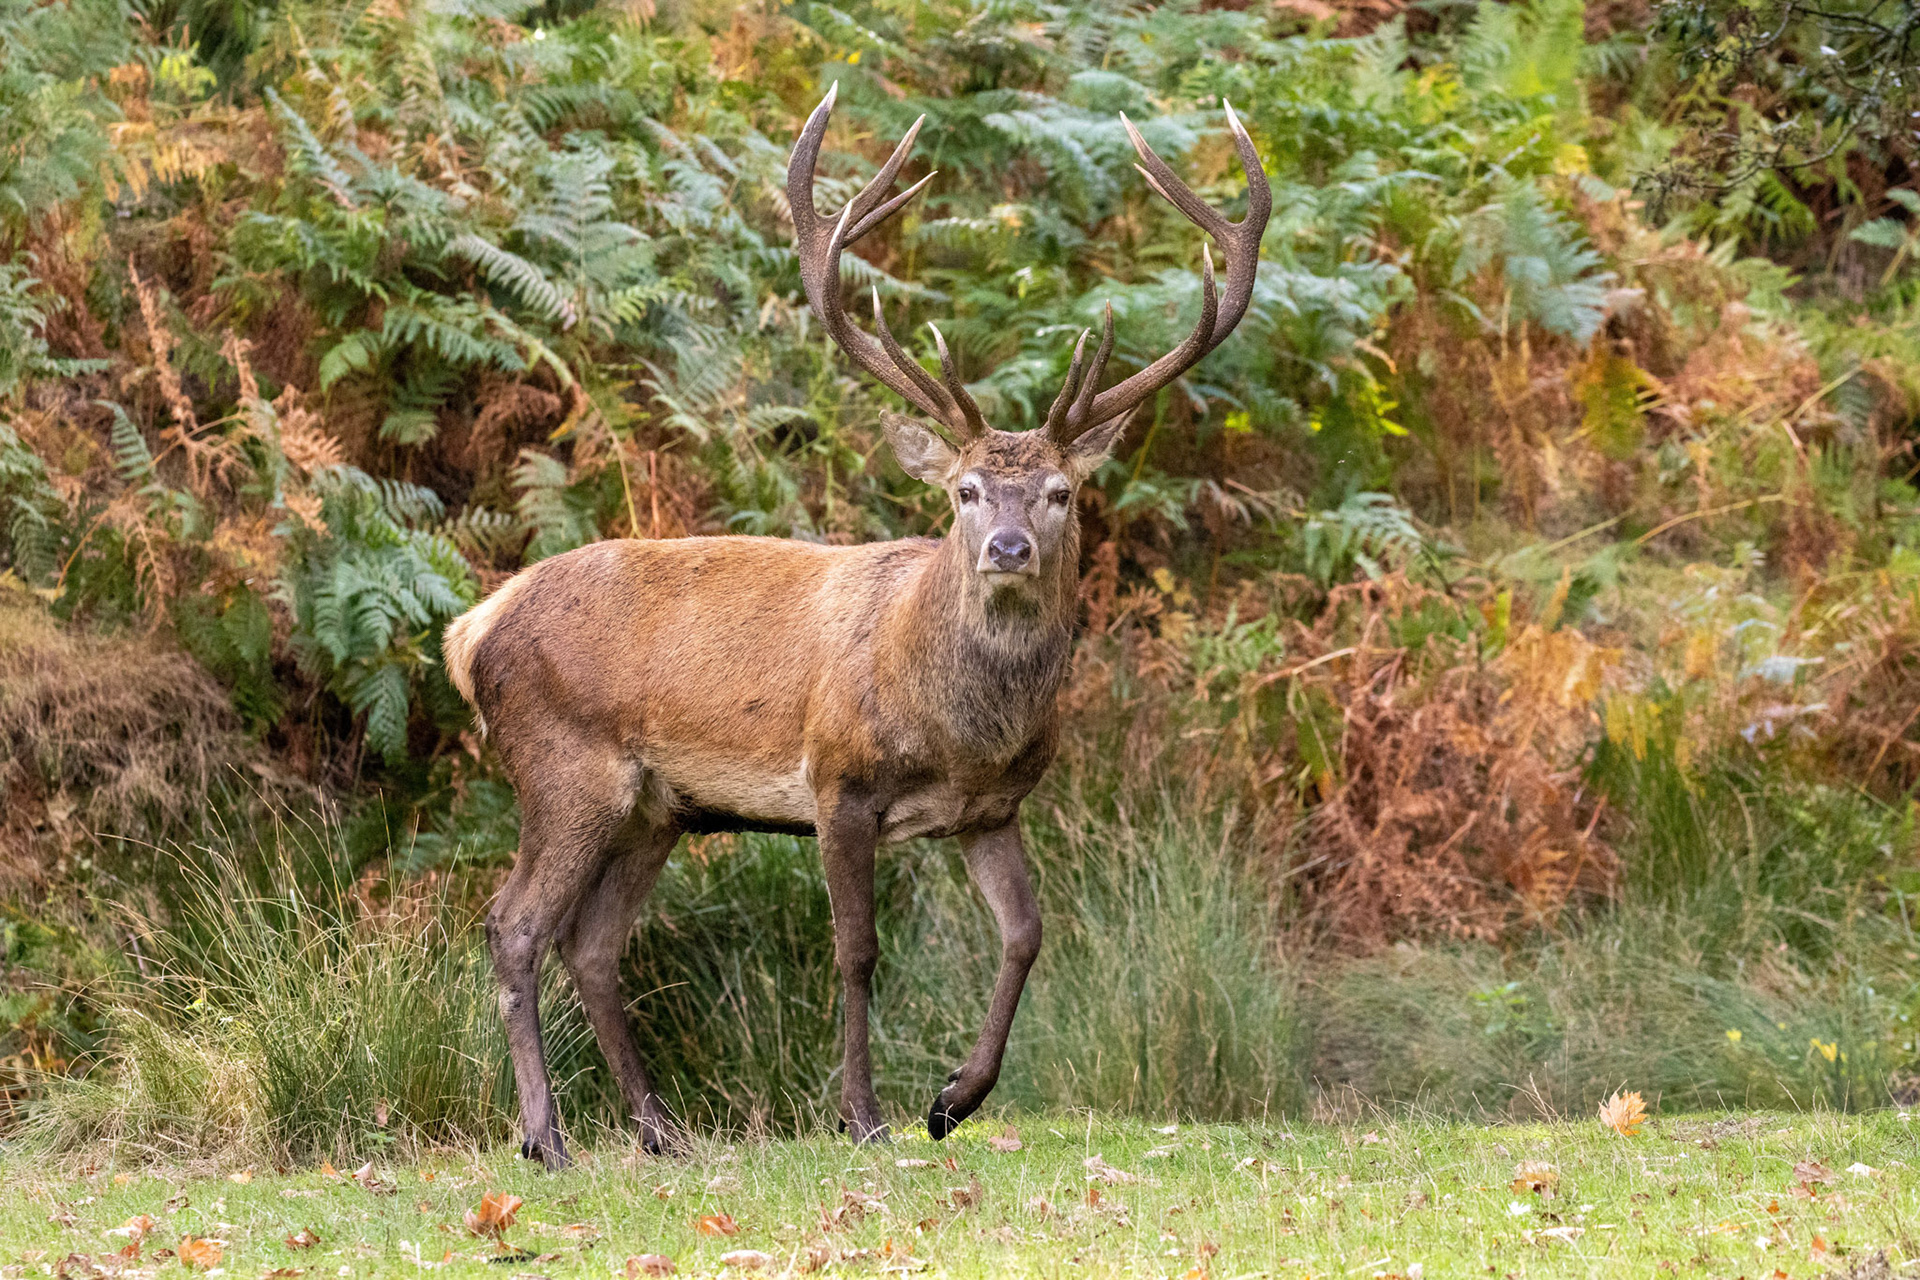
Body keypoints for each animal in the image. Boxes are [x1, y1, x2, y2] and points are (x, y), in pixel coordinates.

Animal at [440, 85, 1271, 1168]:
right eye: (965, 490)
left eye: (1060, 491)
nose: (1008, 548)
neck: (957, 724)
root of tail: (473, 628)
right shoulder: (839, 780)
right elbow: (859, 949)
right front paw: (865, 1114)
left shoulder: (992, 808)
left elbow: (1026, 934)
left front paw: (954, 1098)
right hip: (563, 762)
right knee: (515, 924)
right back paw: (546, 1137)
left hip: (656, 806)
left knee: (592, 942)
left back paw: (661, 1131)